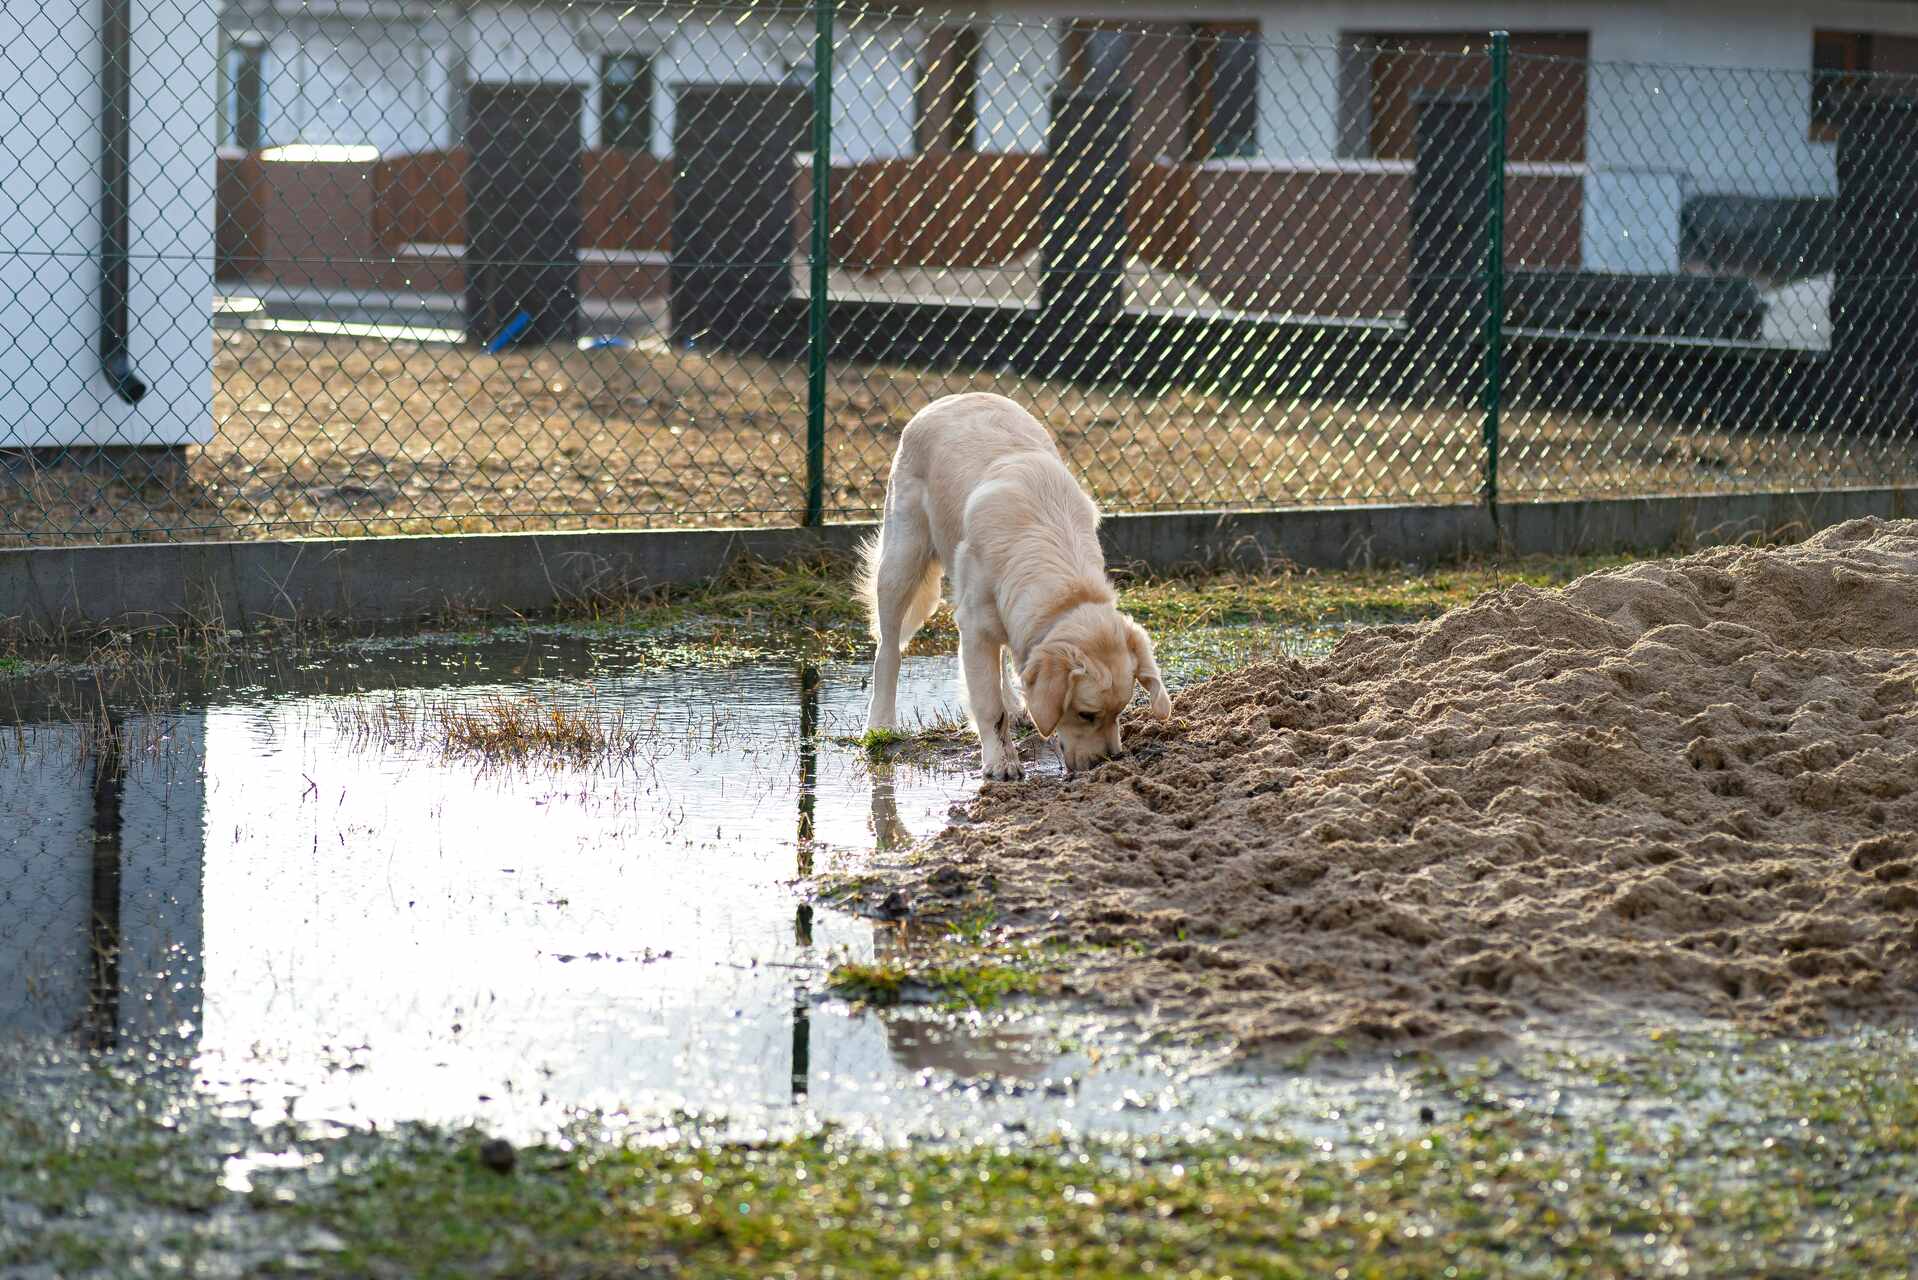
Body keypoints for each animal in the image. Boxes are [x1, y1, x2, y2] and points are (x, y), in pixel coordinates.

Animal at [866, 391, 1166, 775]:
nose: (1107, 762)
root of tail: (952, 397)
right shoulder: (974, 624)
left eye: (1121, 710)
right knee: (887, 649)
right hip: (901, 560)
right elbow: (989, 706)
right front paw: (1001, 764)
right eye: (1086, 714)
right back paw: (880, 723)